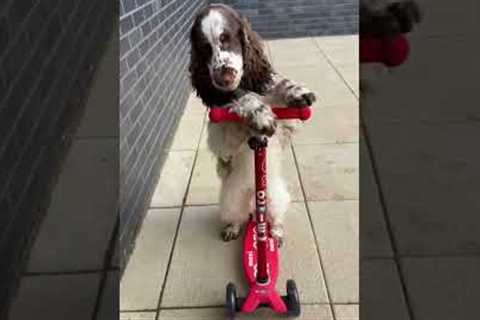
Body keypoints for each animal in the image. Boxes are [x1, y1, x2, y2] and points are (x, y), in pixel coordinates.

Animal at [189, 3, 316, 245]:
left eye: (227, 38)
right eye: (205, 49)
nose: (224, 79)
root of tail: (253, 207)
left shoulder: (286, 124)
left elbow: (280, 84)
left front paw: (297, 91)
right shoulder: (222, 141)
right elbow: (240, 97)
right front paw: (258, 114)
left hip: (276, 198)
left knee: (275, 219)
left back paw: (275, 233)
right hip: (228, 203)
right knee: (237, 218)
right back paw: (232, 228)